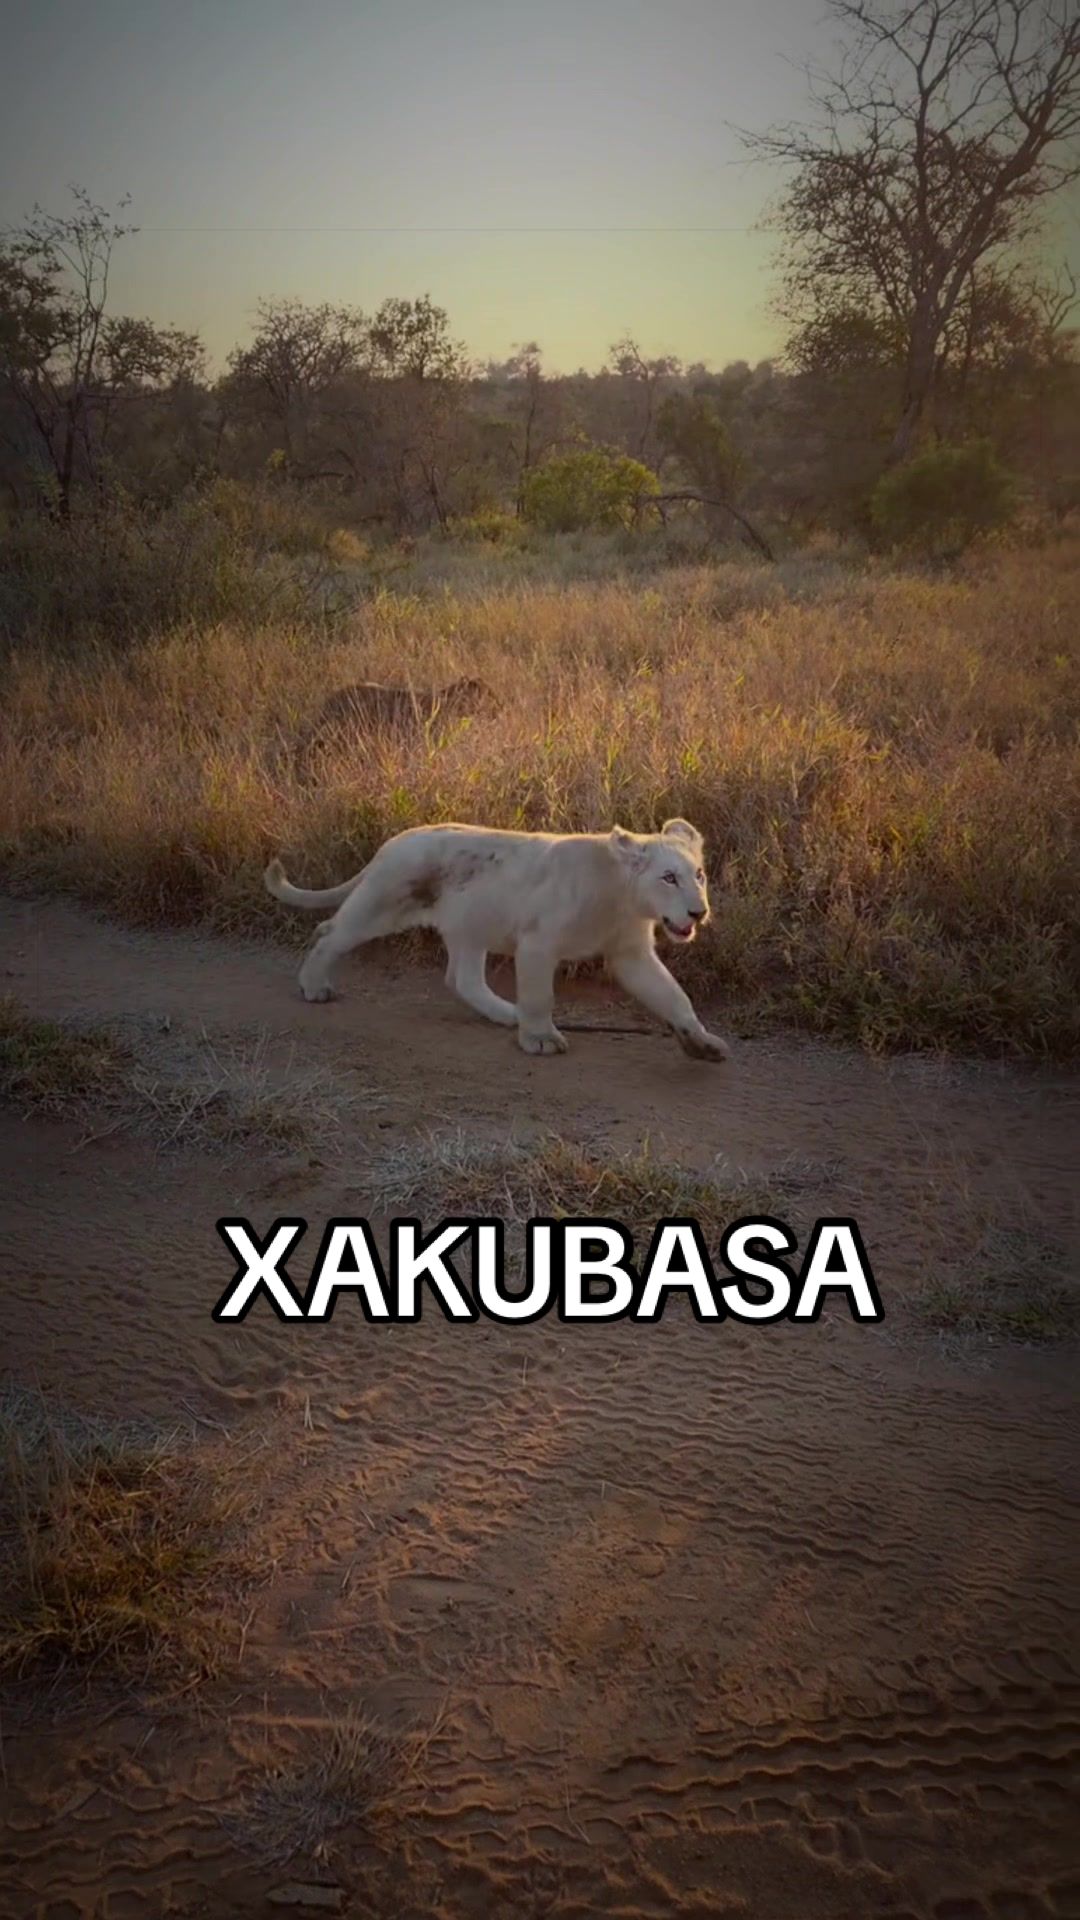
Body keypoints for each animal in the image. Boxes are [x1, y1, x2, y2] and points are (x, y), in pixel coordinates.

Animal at [264, 817, 728, 1061]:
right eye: (668, 878)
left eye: (698, 875)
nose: (698, 912)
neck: (624, 900)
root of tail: (394, 841)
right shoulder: (538, 943)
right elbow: (541, 996)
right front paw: (540, 1039)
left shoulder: (631, 953)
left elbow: (673, 996)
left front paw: (701, 1042)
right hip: (381, 903)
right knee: (329, 932)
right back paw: (315, 986)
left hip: (471, 926)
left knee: (462, 979)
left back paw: (506, 1013)